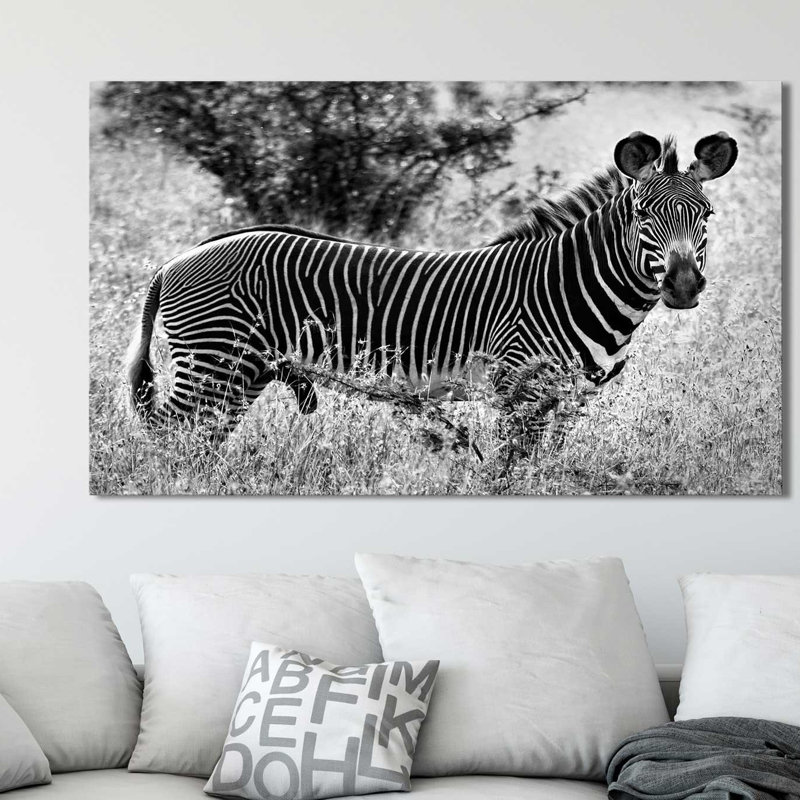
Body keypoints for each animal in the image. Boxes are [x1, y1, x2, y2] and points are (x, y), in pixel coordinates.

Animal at [127, 131, 738, 439]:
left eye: (706, 214)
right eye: (642, 214)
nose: (684, 286)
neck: (571, 283)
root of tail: (180, 256)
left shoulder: (568, 399)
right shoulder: (518, 389)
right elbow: (509, 473)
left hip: (242, 373)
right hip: (213, 363)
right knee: (170, 440)